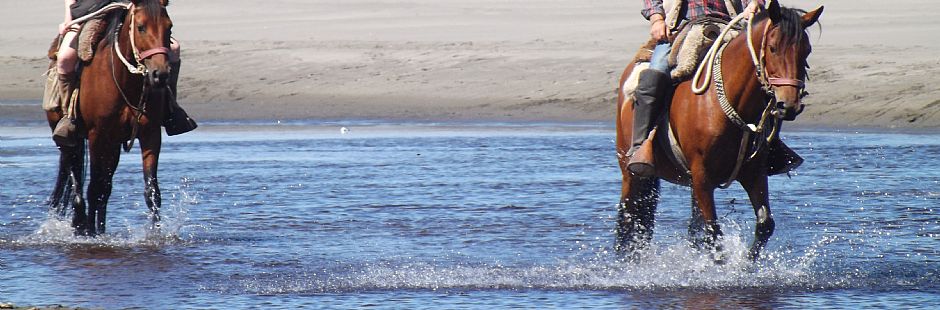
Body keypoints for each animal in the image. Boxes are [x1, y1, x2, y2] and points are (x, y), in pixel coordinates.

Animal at [46, 0, 174, 236]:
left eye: (169, 27)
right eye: (141, 27)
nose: (160, 75)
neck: (125, 80)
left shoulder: (150, 134)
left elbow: (152, 190)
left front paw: (156, 234)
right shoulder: (97, 135)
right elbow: (93, 187)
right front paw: (89, 233)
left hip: (112, 145)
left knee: (104, 188)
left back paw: (99, 228)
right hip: (70, 139)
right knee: (78, 179)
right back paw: (81, 224)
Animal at [612, 0, 820, 260]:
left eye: (806, 51)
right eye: (772, 48)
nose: (789, 104)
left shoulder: (754, 172)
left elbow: (764, 224)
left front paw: (745, 264)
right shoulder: (702, 175)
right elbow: (713, 233)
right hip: (631, 172)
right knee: (628, 221)